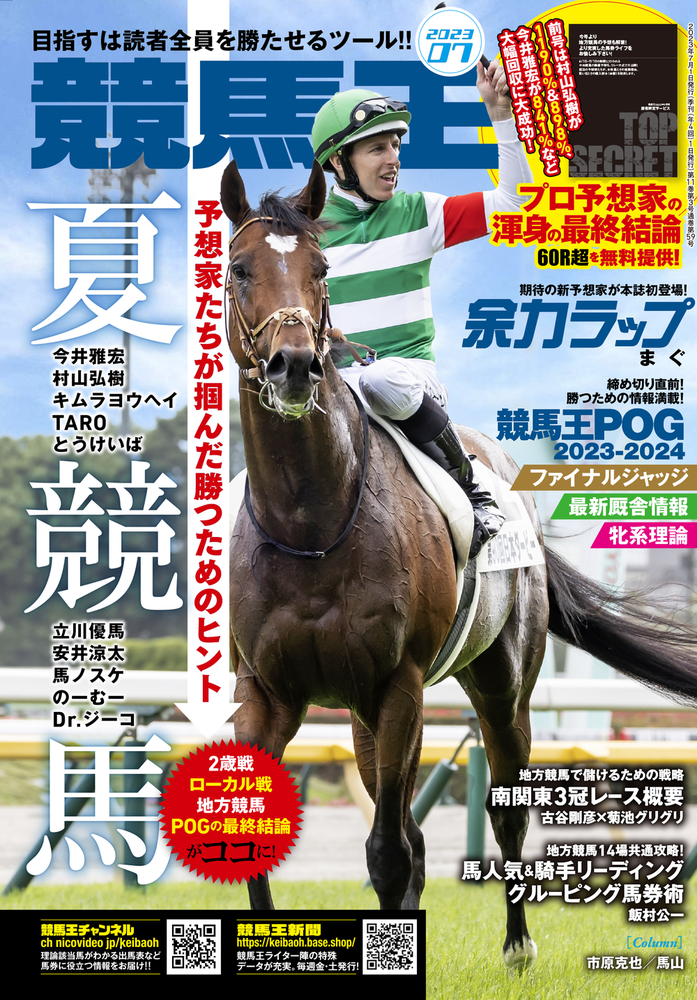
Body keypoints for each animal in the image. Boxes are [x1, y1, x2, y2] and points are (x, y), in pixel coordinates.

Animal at [223, 158, 697, 971]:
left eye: (320, 270)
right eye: (239, 267)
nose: (294, 367)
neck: (309, 519)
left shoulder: (399, 685)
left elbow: (387, 853)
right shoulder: (268, 692)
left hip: (499, 688)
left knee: (499, 813)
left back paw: (517, 947)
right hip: (365, 713)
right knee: (411, 828)